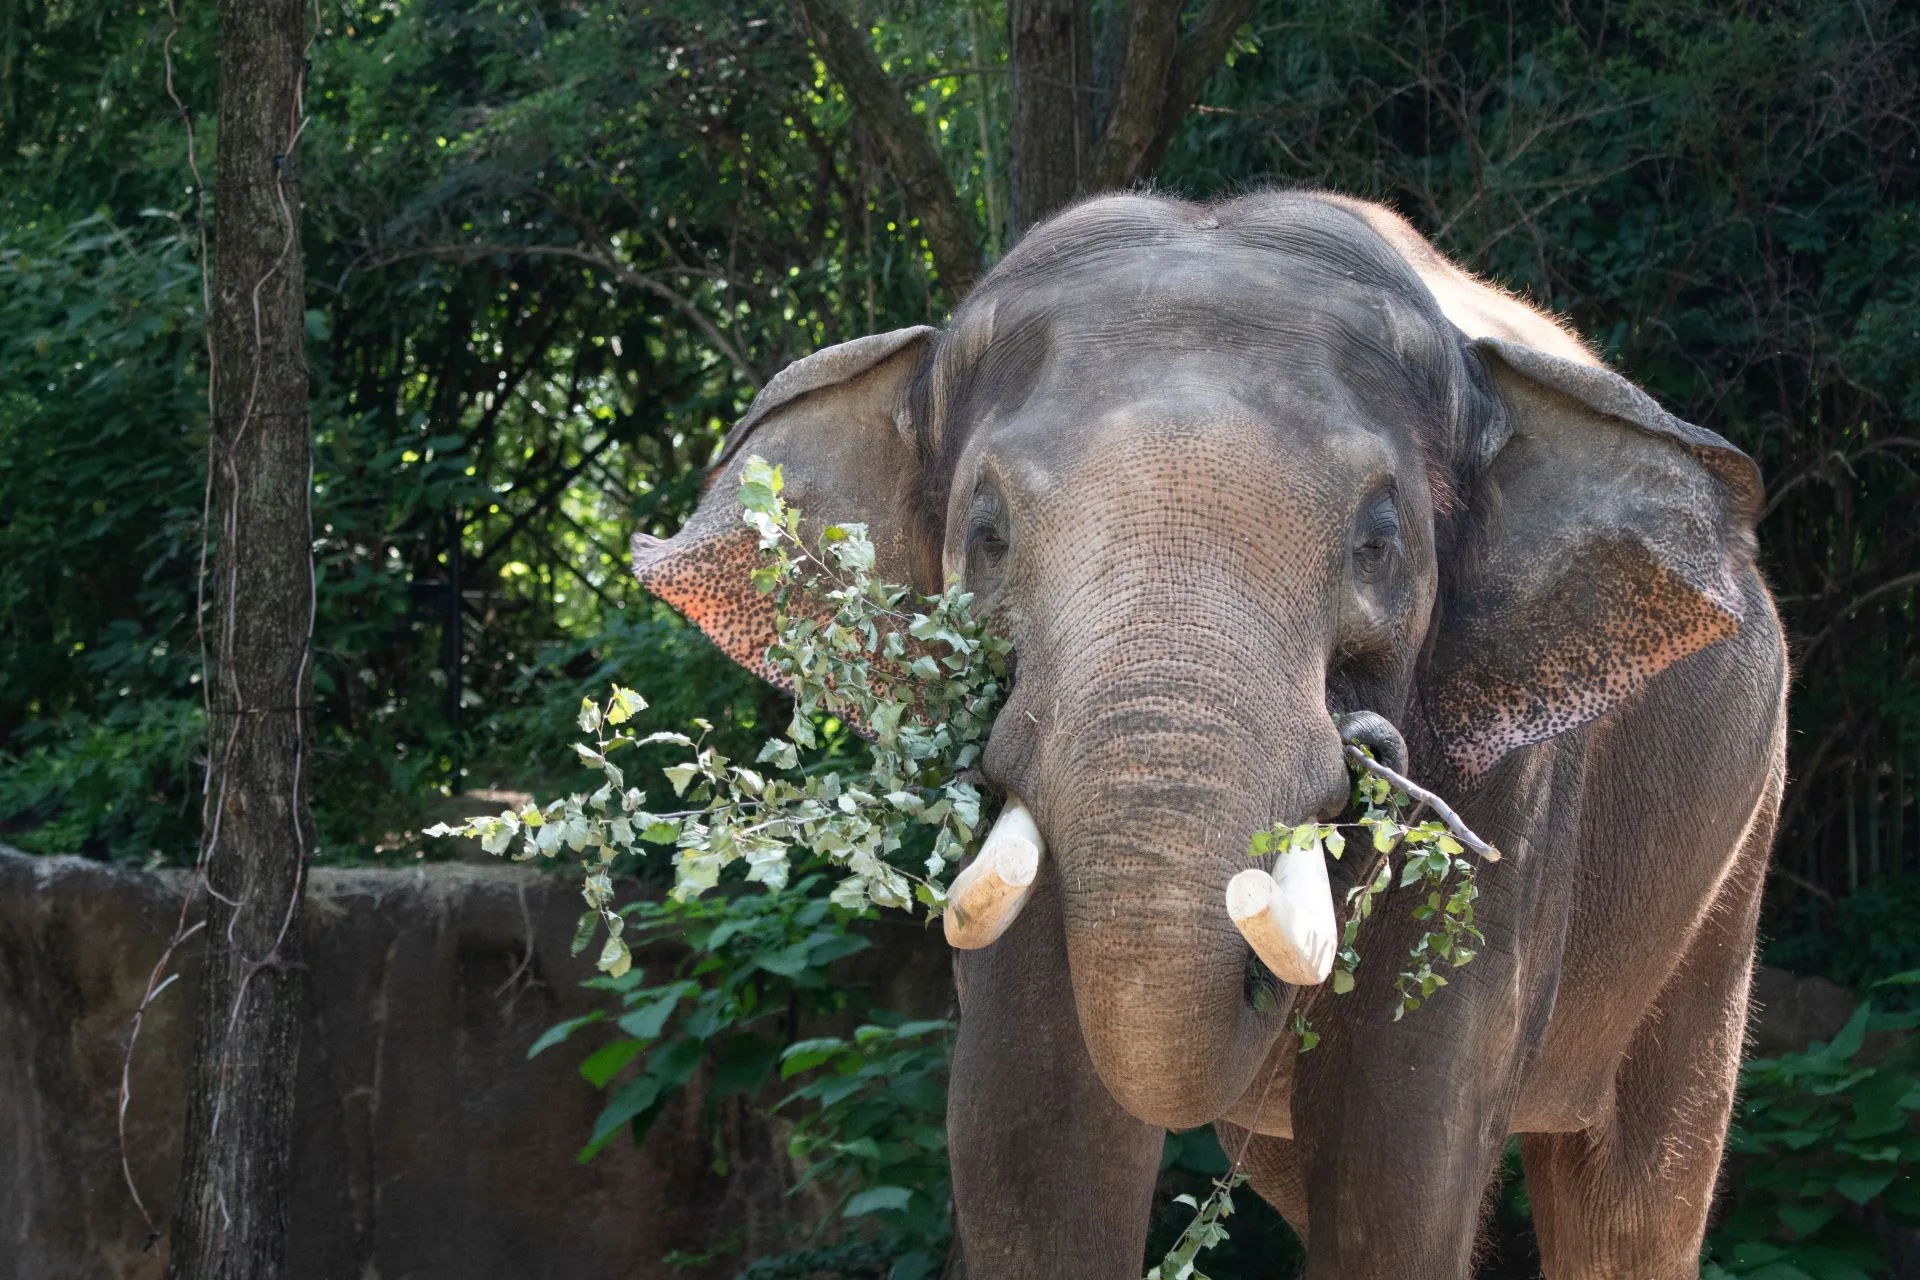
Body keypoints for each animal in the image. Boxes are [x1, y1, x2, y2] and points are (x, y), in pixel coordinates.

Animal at [630, 190, 1787, 1279]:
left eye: (1378, 541)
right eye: (987, 535)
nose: (1368, 751)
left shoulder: (1513, 779)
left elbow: (1398, 1153)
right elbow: (1028, 1137)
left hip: (1734, 861)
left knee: (1634, 1197)